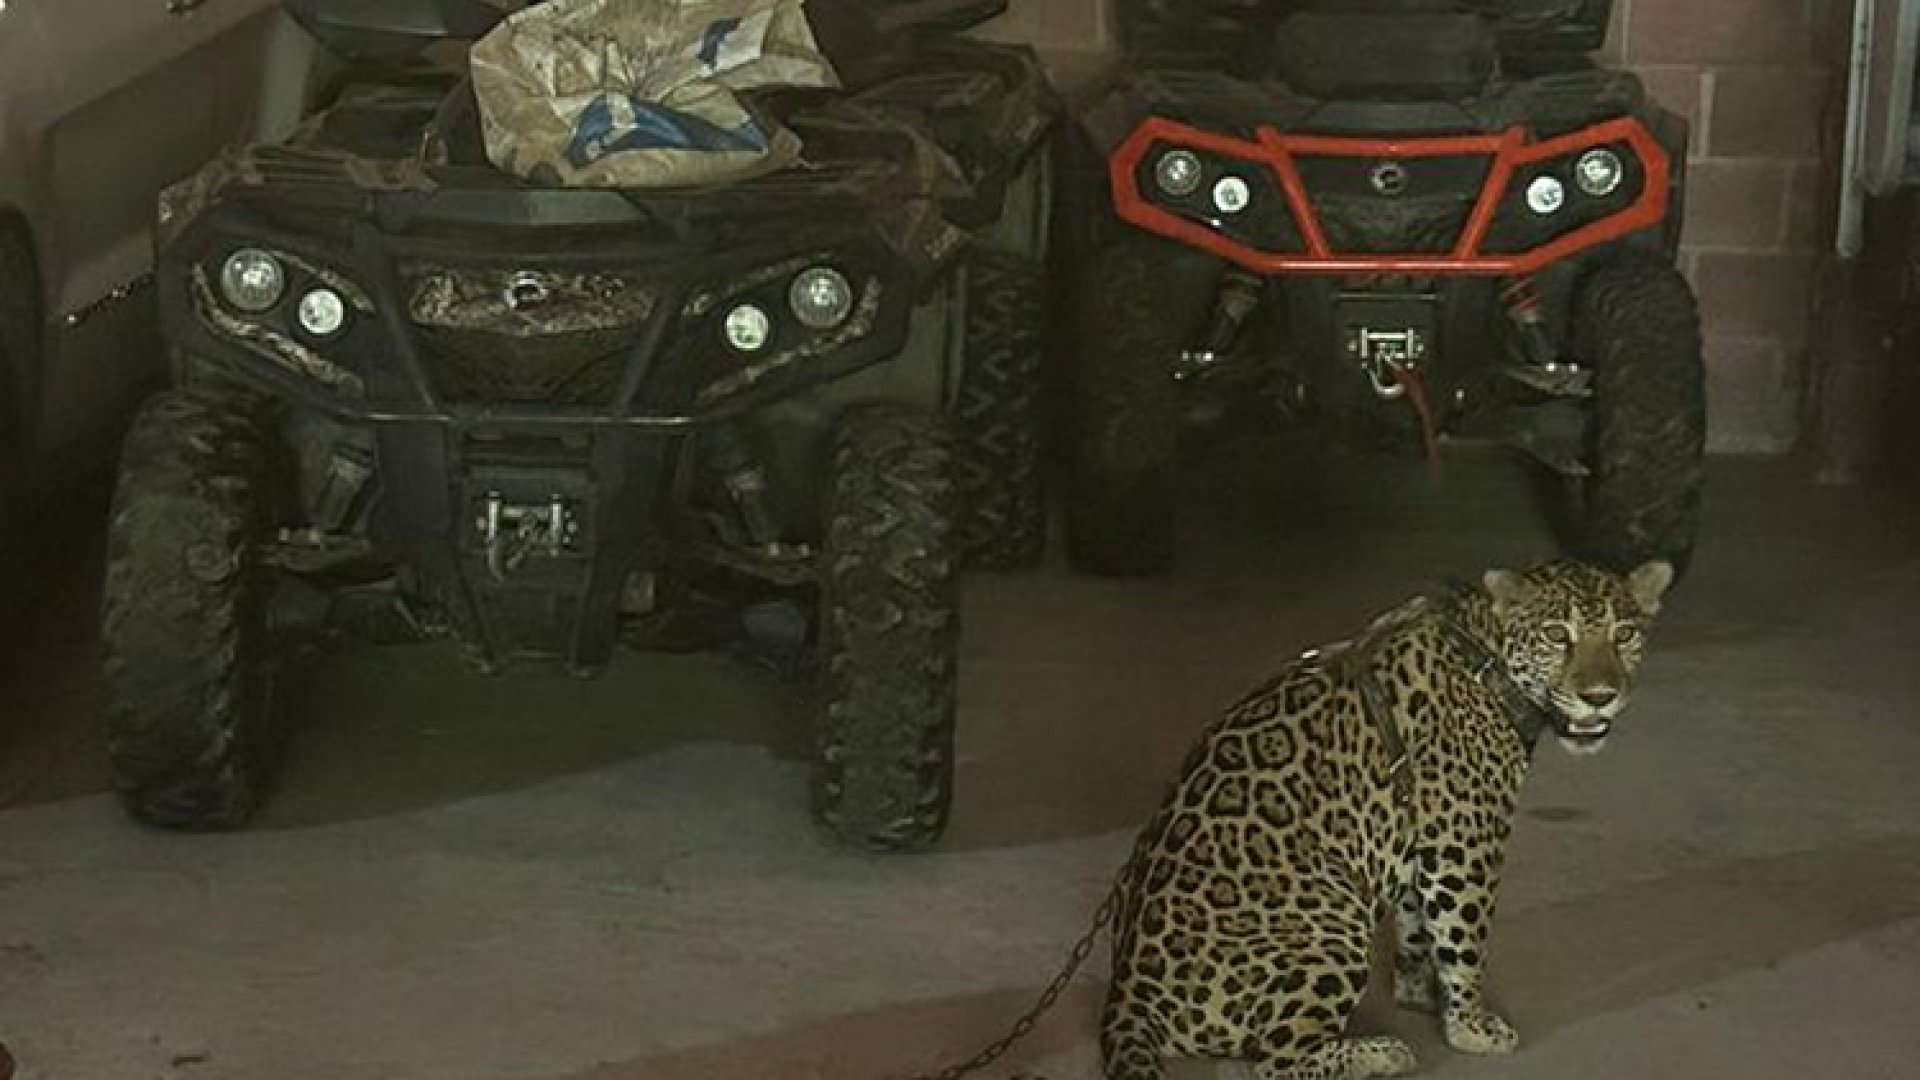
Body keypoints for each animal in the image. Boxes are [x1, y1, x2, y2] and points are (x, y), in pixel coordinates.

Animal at [1096, 557, 1674, 1080]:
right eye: (1557, 635)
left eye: (1624, 635)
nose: (1599, 696)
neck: (1488, 656)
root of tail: (1126, 994)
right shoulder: (1465, 843)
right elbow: (1466, 938)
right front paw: (1472, 1027)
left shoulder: (1421, 839)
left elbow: (1420, 923)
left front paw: (1419, 992)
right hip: (1332, 926)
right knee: (1273, 1063)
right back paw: (1382, 1052)